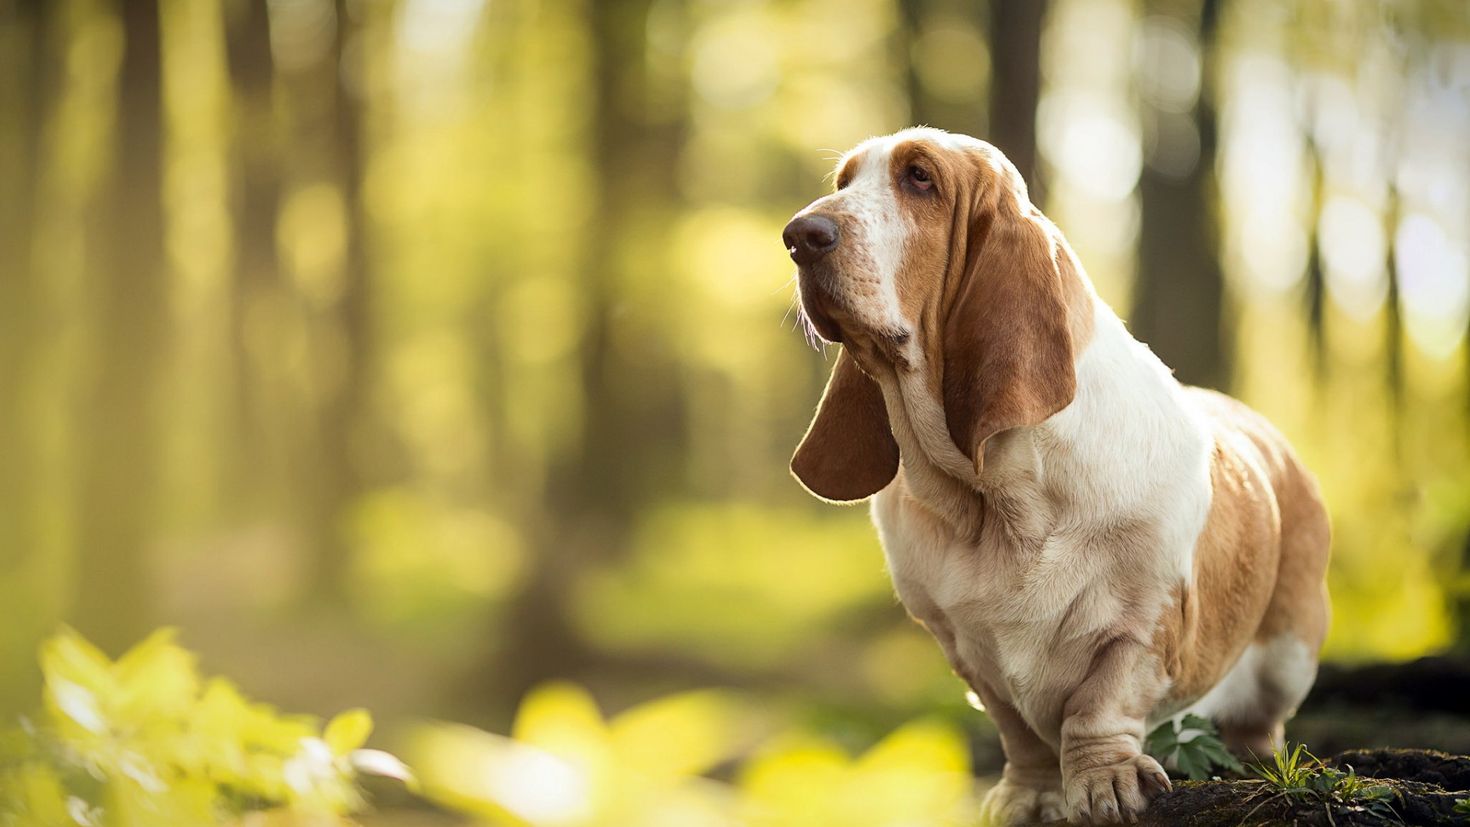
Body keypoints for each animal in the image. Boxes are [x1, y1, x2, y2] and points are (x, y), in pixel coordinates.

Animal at [782, 126, 1334, 822]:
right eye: (844, 183)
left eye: (920, 178)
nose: (799, 235)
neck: (997, 501)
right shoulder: (963, 648)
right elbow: (1019, 731)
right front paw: (1029, 794)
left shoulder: (1144, 625)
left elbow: (1098, 707)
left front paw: (1105, 785)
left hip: (1288, 655)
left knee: (1259, 722)